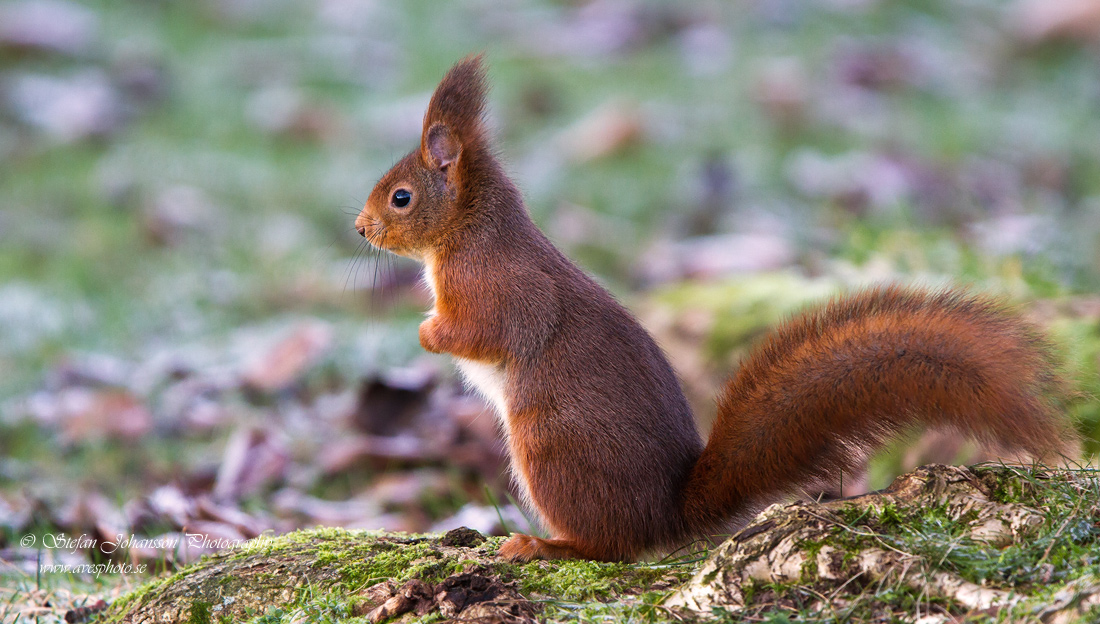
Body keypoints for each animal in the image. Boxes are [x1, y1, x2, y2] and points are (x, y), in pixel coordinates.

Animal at [356, 56, 1069, 563]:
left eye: (400, 197)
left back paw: (544, 543)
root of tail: (664, 516)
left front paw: (427, 334)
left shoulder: (498, 288)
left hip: (550, 451)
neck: (467, 233)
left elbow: (484, 331)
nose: (360, 229)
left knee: (608, 548)